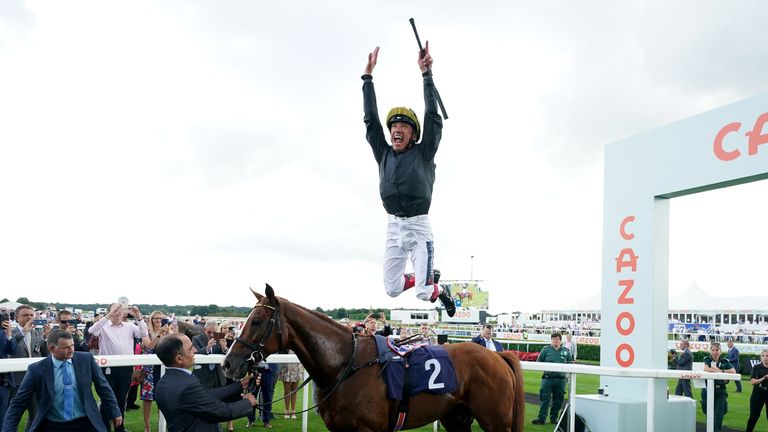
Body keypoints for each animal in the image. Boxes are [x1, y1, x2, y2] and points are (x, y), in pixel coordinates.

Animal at [220, 286, 520, 430]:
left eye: (257, 320)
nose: (228, 364)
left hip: (495, 421)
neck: (346, 365)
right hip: (457, 418)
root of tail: (498, 355)